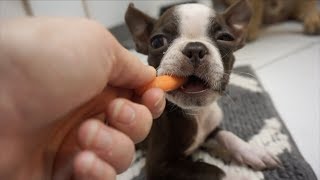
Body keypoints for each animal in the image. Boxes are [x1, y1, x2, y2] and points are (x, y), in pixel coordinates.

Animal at [125, 0, 280, 179]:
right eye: (157, 42)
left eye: (225, 38)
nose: (194, 48)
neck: (197, 113)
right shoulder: (158, 166)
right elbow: (213, 170)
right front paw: (239, 175)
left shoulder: (211, 129)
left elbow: (228, 135)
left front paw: (253, 151)